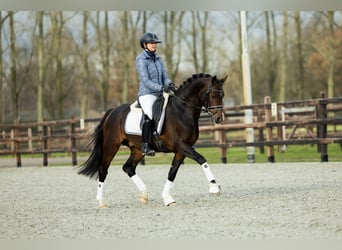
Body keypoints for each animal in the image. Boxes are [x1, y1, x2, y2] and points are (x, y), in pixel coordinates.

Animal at [78, 73, 227, 208]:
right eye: (213, 95)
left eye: (223, 95)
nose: (219, 118)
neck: (182, 111)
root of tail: (112, 112)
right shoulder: (181, 146)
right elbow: (201, 159)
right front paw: (214, 187)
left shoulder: (181, 150)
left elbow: (172, 172)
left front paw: (167, 198)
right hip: (111, 146)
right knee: (103, 169)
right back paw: (101, 202)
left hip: (138, 149)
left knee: (128, 168)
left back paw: (144, 195)